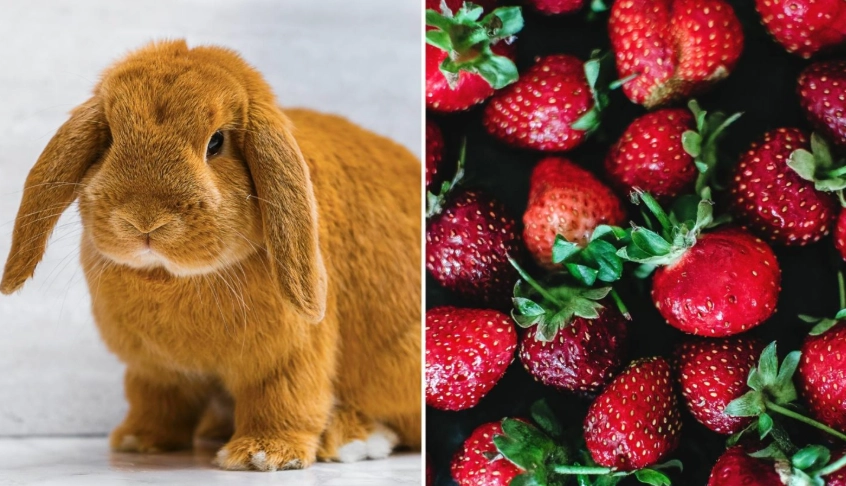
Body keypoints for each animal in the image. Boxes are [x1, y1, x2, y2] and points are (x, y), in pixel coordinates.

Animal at [0, 40, 421, 471]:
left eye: (216, 142)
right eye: (111, 138)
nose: (144, 220)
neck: (169, 277)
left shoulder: (290, 356)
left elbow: (285, 398)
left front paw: (264, 455)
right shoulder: (155, 371)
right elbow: (154, 401)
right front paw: (139, 440)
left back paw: (355, 438)